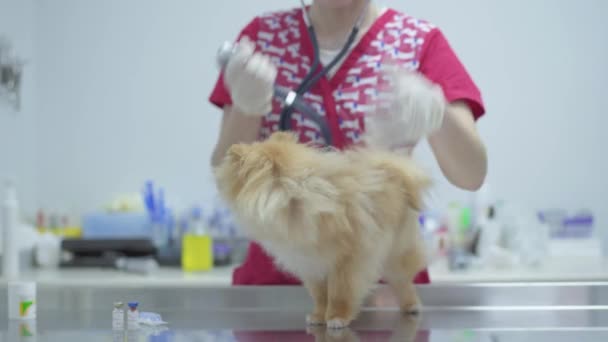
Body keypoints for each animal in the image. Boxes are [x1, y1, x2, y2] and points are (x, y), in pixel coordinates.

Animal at [216, 132, 430, 328]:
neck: (292, 197)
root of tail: (392, 173)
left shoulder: (345, 262)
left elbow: (338, 293)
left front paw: (337, 317)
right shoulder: (312, 264)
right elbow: (320, 296)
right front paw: (318, 316)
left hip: (397, 252)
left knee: (403, 281)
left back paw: (411, 305)